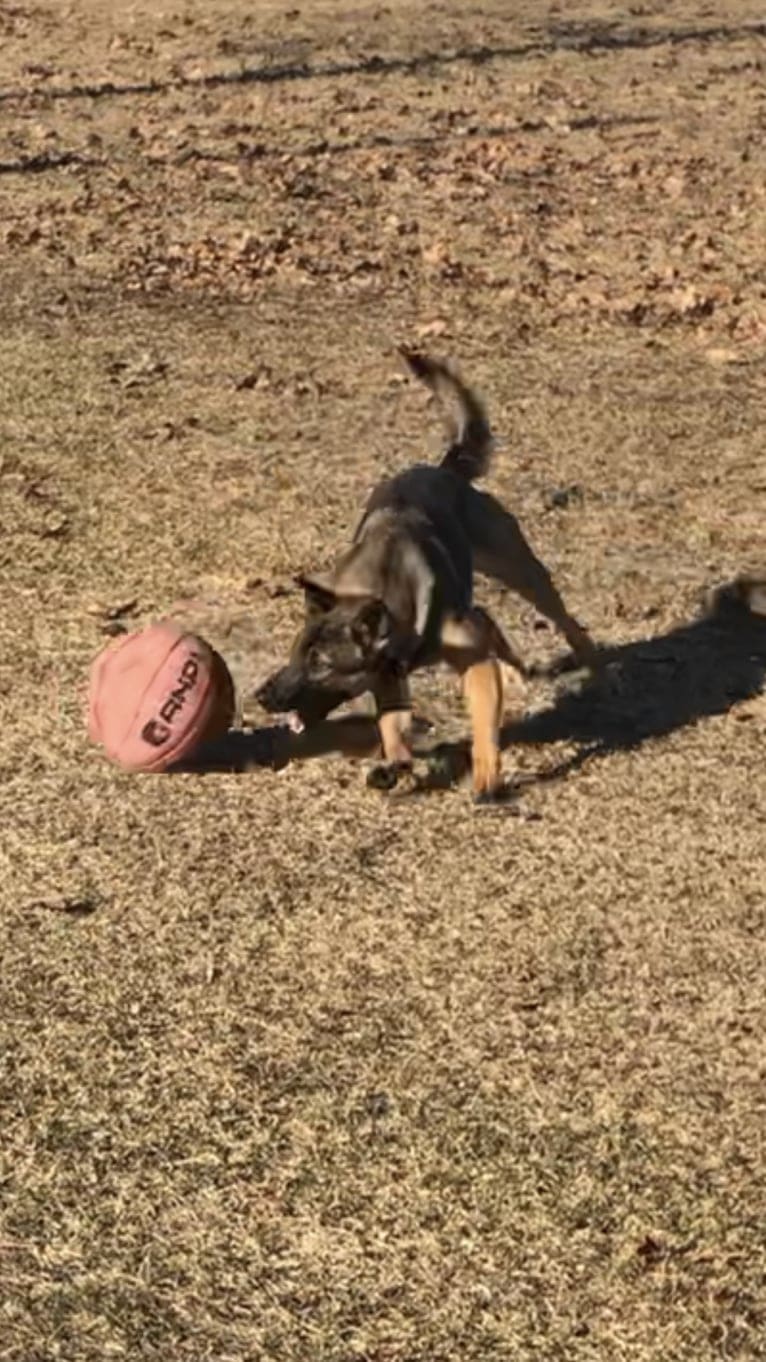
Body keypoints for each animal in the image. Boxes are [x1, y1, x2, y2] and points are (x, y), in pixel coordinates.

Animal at [256, 348, 596, 795]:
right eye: (295, 652)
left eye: (320, 664)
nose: (262, 697)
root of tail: (445, 468)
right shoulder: (387, 677)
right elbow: (392, 729)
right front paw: (396, 766)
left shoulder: (469, 661)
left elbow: (483, 721)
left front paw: (485, 773)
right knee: (490, 620)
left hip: (517, 567)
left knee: (559, 616)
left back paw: (593, 663)